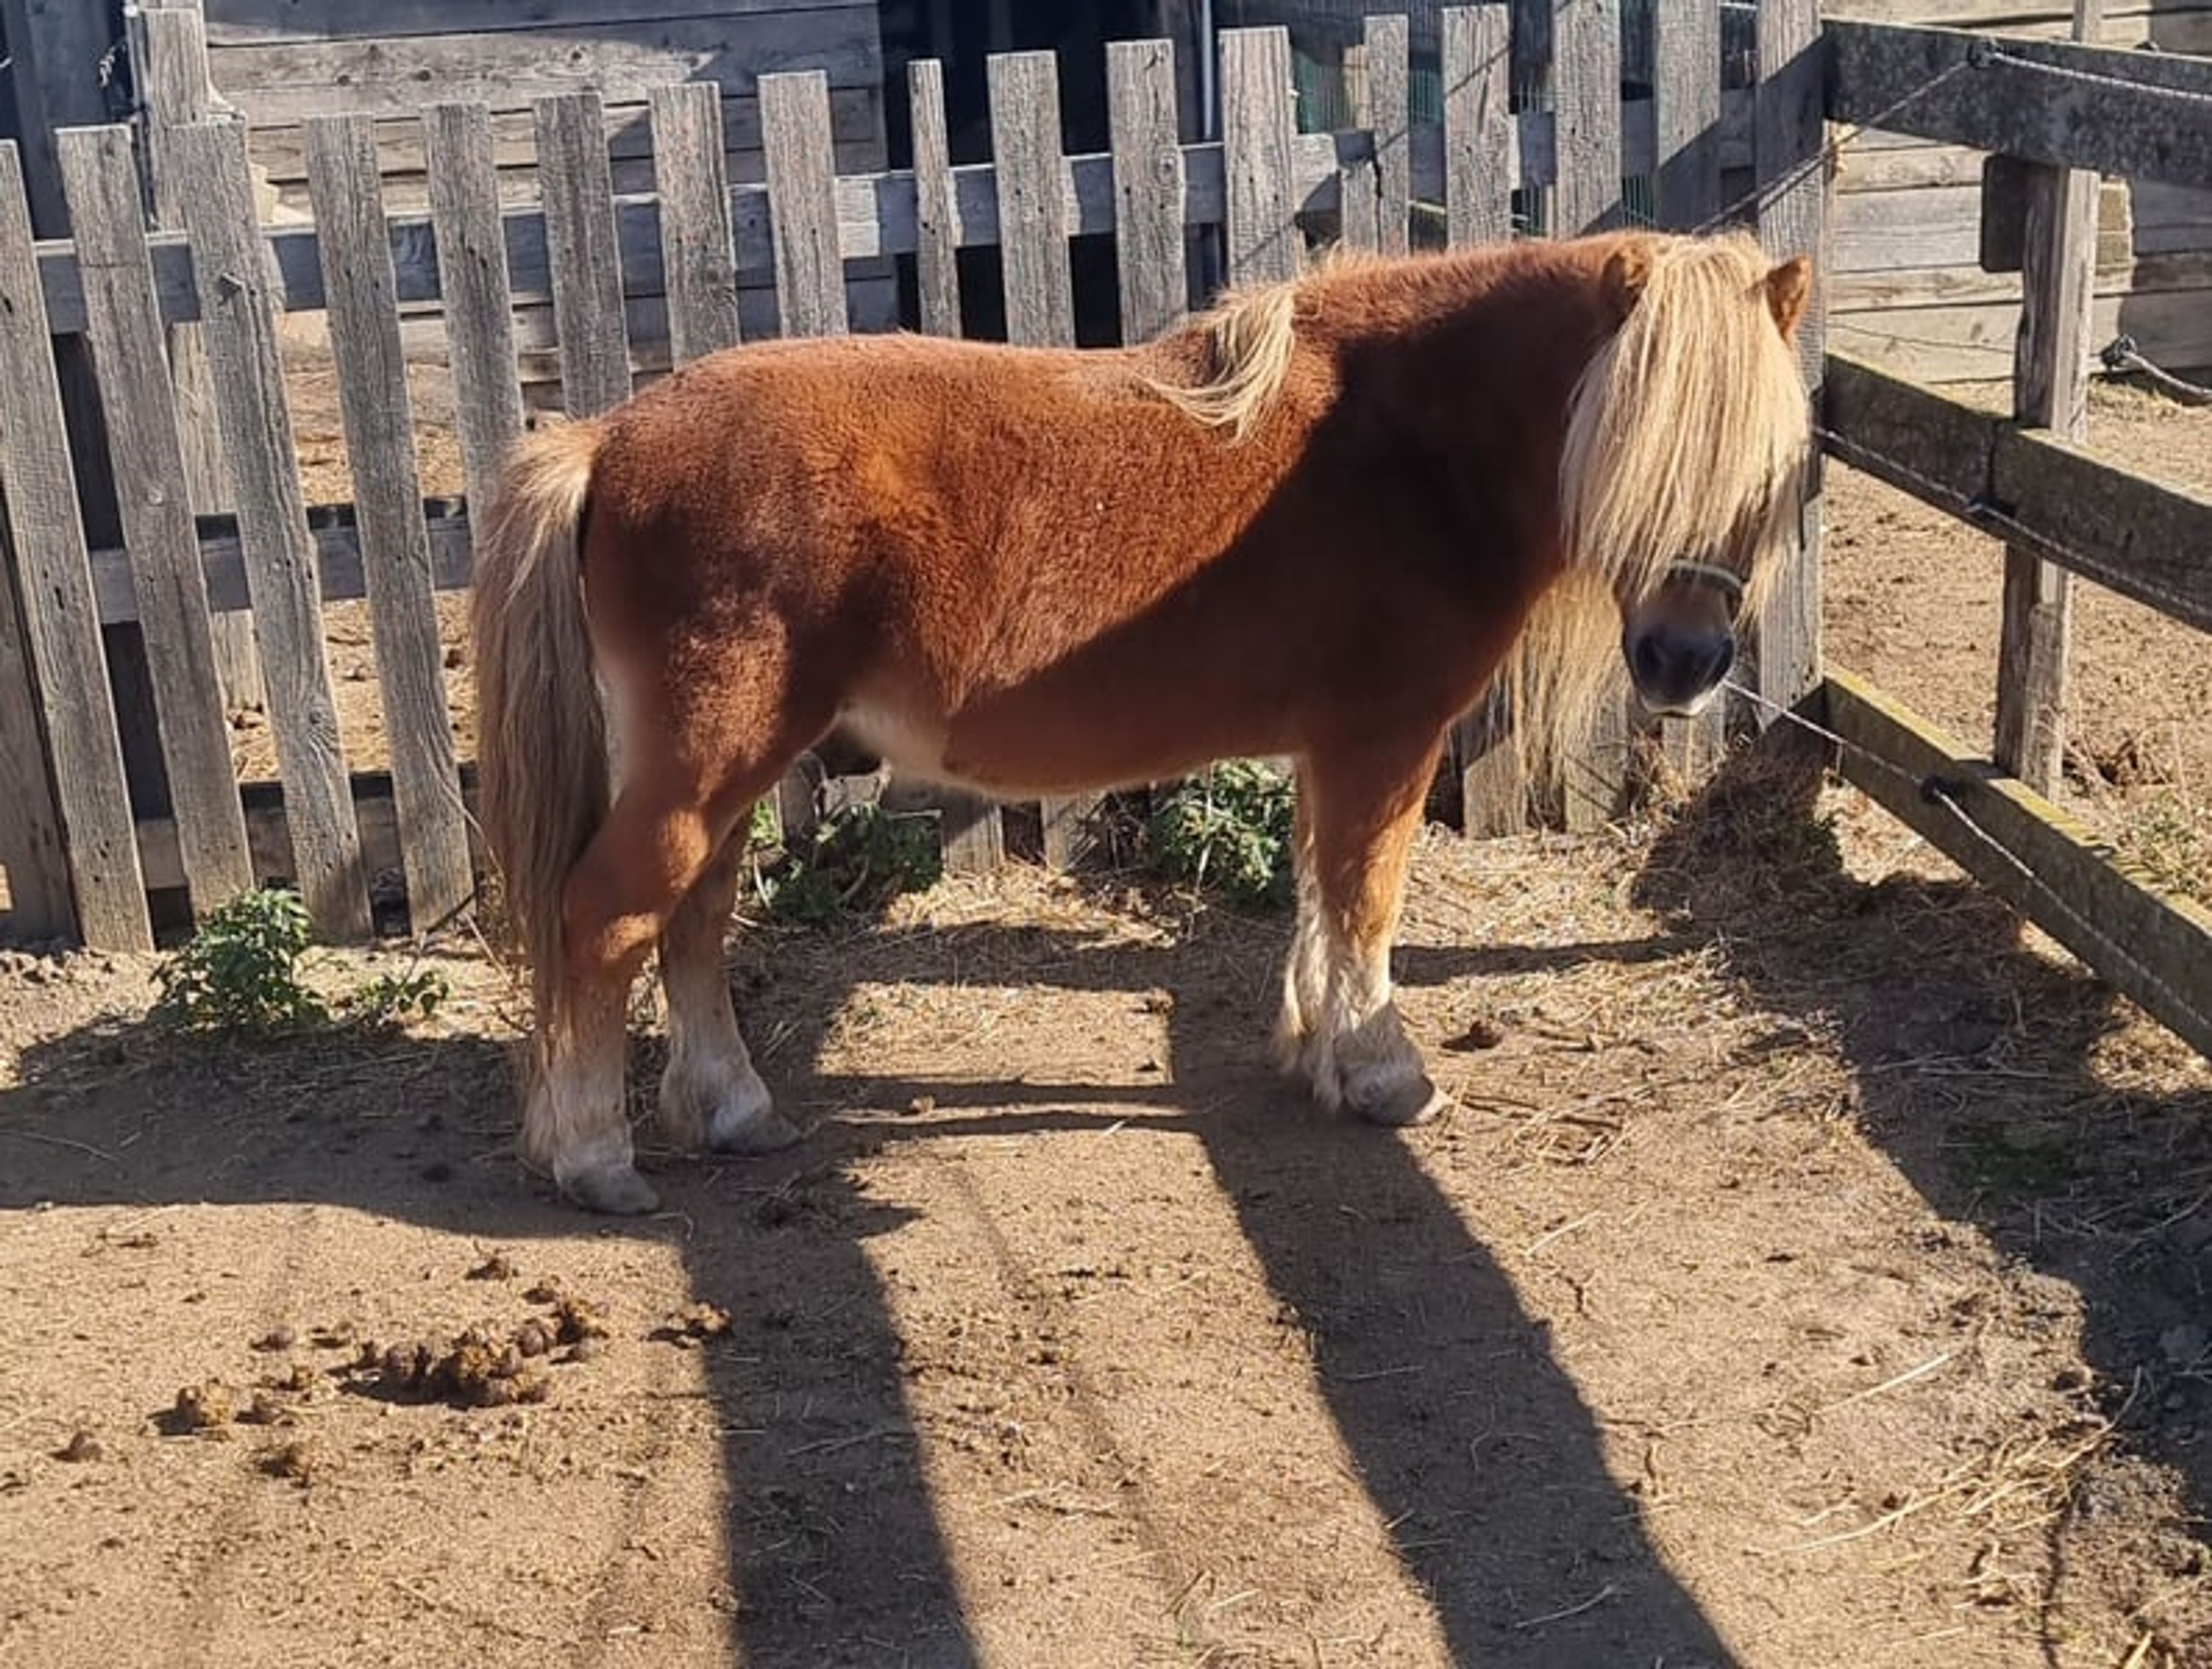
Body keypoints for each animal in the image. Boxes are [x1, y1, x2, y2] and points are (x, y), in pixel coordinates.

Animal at [471, 227, 1815, 1214]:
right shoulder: (1386, 739)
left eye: (1765, 469)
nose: (1686, 659)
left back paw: (733, 1109)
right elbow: (1368, 900)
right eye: (1640, 454)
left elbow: (1320, 892)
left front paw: (1311, 1047)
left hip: (728, 769)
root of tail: (609, 437)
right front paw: (1384, 1072)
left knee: (693, 920)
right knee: (609, 919)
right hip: (709, 758)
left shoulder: (1330, 747)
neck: (1403, 444)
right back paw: (595, 1156)